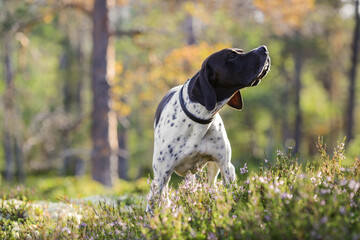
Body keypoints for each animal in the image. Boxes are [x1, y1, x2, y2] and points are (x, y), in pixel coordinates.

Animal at [147, 45, 270, 210]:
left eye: (240, 51)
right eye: (231, 56)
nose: (264, 48)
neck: (199, 119)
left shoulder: (226, 166)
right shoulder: (160, 177)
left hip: (214, 168)